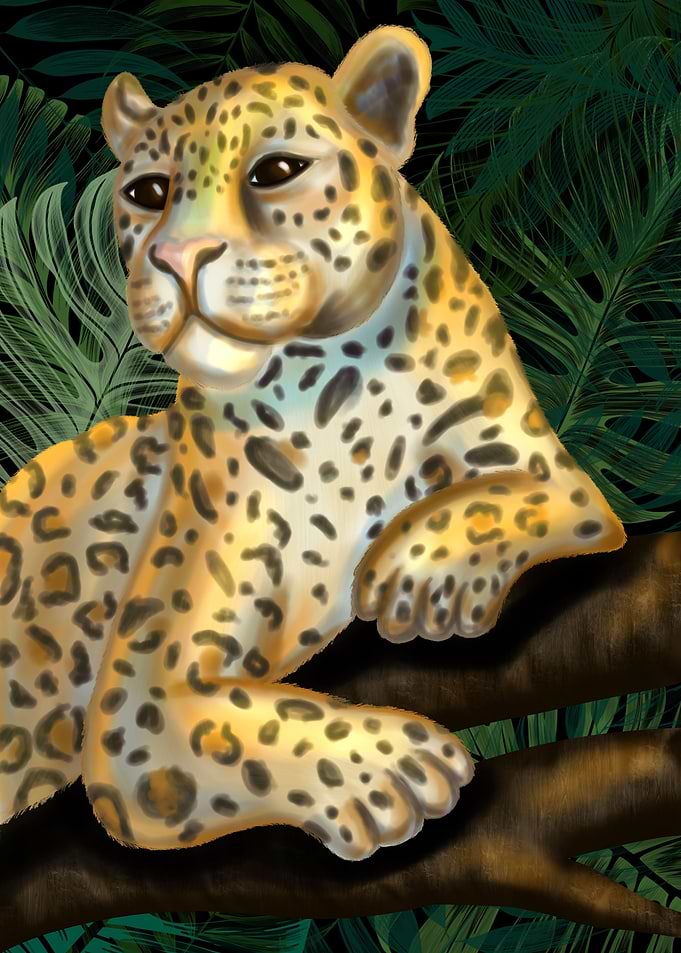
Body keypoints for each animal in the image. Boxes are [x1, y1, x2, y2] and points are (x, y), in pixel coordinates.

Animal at [0, 25, 626, 861]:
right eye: (148, 193)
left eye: (276, 171)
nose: (177, 258)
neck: (329, 388)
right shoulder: (142, 692)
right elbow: (249, 729)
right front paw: (391, 767)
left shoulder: (551, 471)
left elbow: (512, 498)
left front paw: (417, 575)